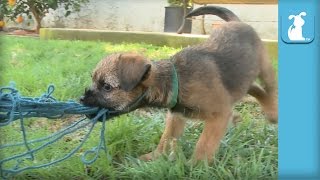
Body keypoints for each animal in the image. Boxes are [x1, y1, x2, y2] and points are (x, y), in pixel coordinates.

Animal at [80, 5, 278, 163]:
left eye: (107, 87)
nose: (81, 99)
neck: (174, 81)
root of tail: (238, 22)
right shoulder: (176, 116)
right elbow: (166, 138)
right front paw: (154, 157)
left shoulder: (218, 115)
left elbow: (204, 144)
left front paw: (196, 166)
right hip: (241, 78)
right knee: (254, 89)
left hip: (264, 68)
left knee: (270, 87)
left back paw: (272, 113)